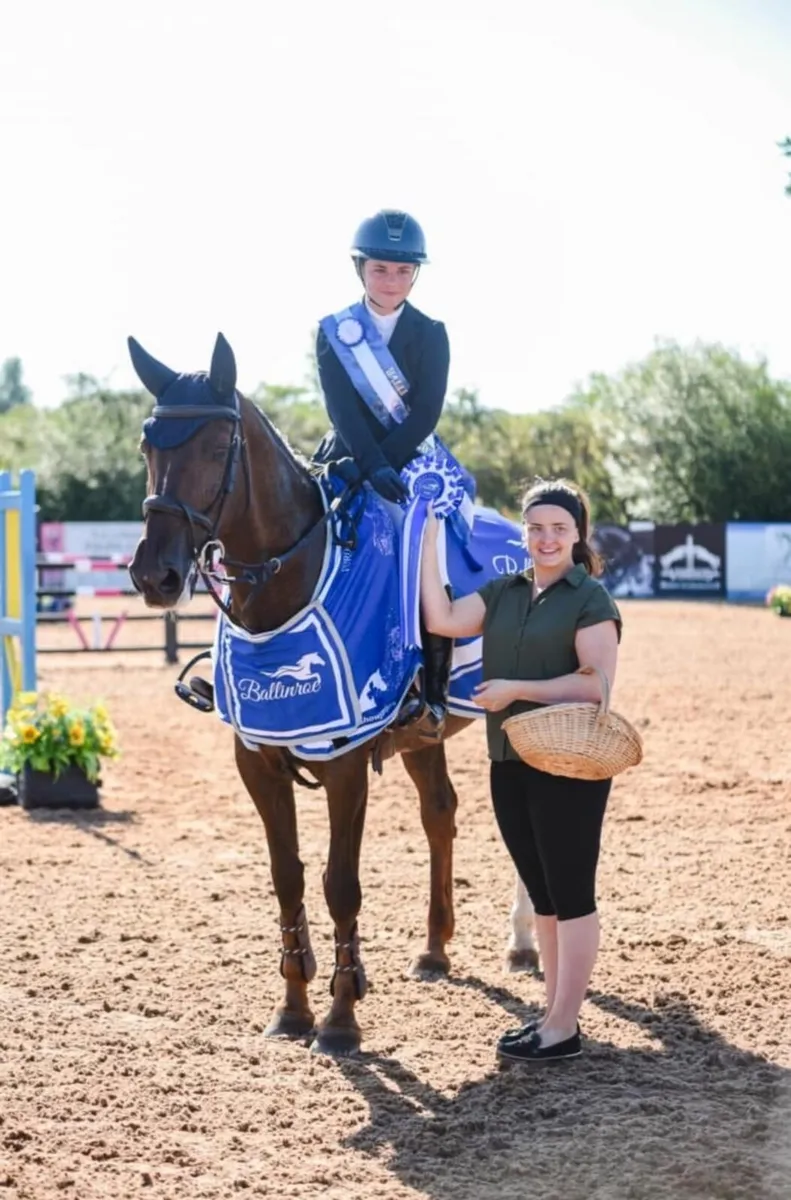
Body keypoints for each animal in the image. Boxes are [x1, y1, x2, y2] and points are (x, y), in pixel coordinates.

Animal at [127, 331, 538, 1056]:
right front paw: (293, 1007)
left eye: (217, 445)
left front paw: (342, 1017)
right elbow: (286, 876)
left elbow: (340, 885)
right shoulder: (258, 762)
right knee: (440, 813)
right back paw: (434, 951)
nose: (156, 576)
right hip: (423, 737)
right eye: (148, 444)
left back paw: (524, 944)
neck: (287, 589)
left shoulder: (346, 764)